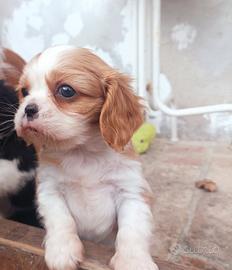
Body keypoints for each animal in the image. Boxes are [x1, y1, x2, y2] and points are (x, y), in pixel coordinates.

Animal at [14, 46, 158, 270]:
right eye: (24, 92)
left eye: (66, 90)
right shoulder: (49, 190)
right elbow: (60, 219)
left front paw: (134, 261)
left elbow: (132, 230)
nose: (28, 108)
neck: (82, 152)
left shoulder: (132, 192)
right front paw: (62, 251)